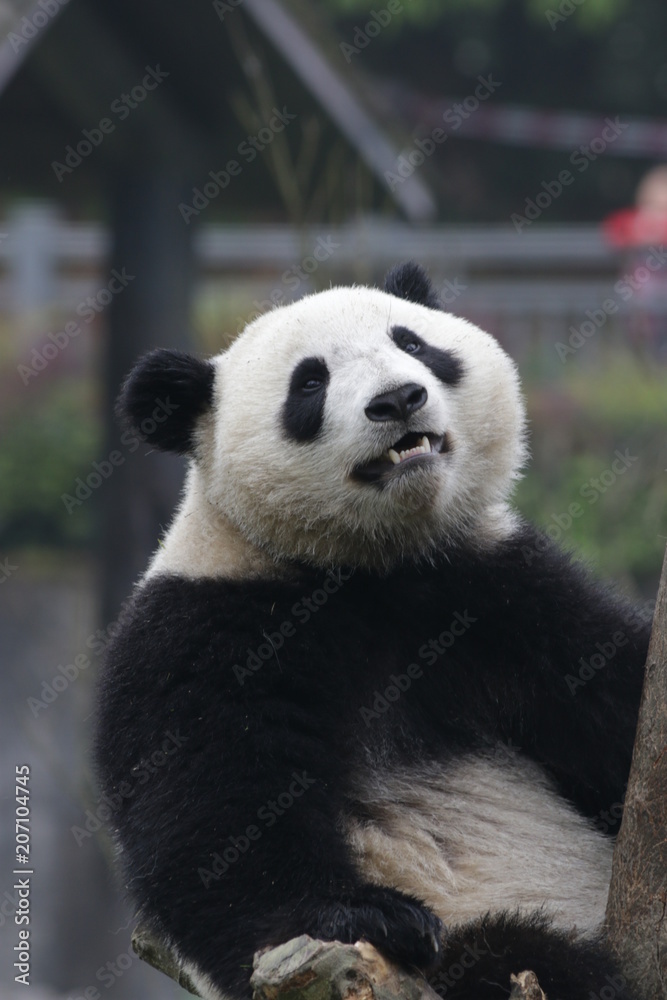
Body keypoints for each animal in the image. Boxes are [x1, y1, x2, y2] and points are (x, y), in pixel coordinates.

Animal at [95, 262, 651, 1000]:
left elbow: (607, 692)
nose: (398, 399)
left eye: (412, 343)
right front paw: (369, 915)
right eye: (309, 383)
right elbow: (214, 822)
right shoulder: (201, 630)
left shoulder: (500, 591)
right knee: (520, 955)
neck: (370, 569)